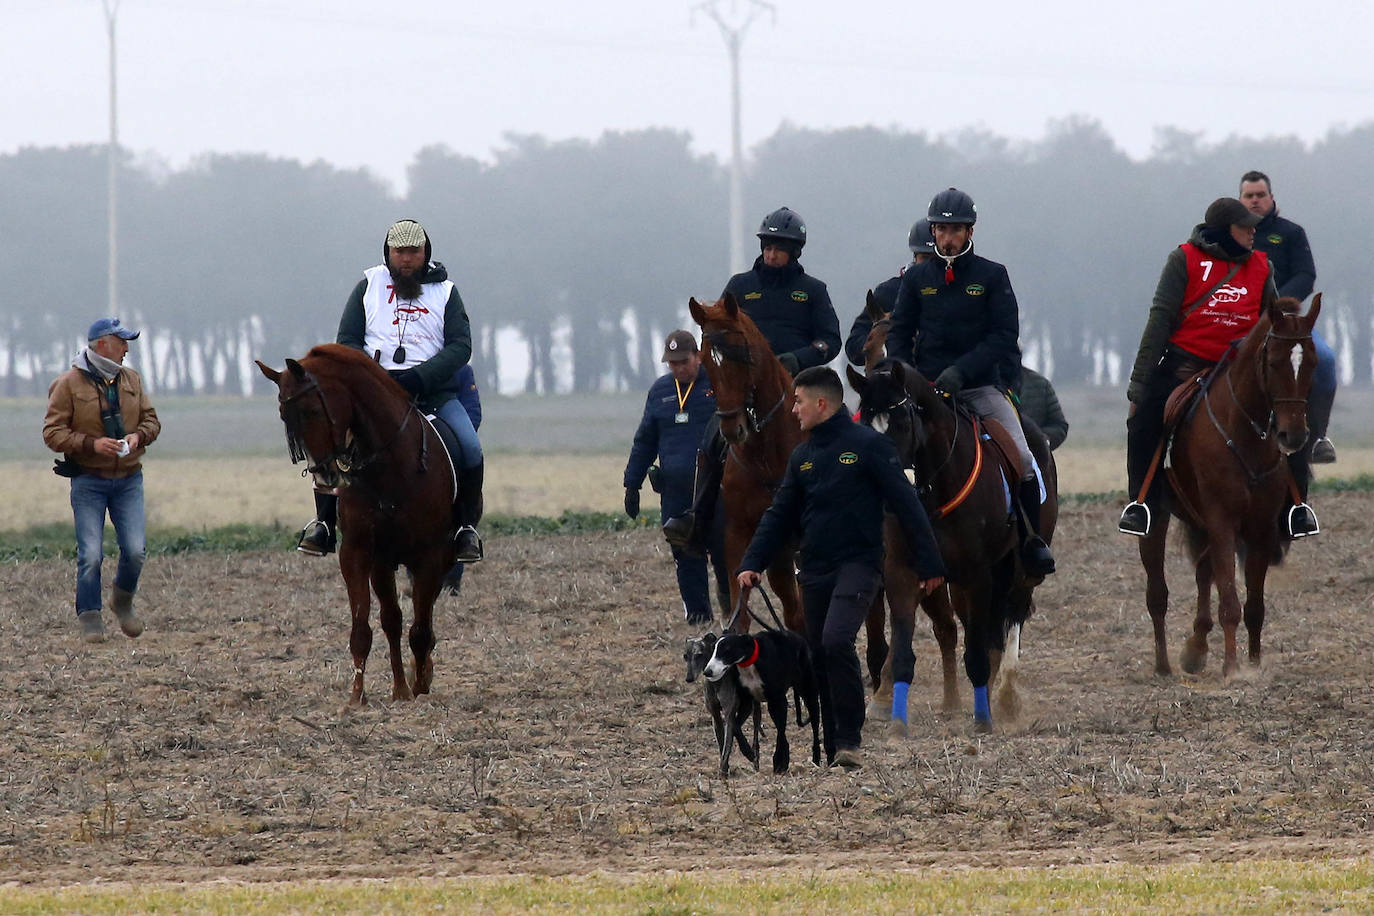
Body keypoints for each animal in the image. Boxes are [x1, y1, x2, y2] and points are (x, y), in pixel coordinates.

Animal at [259, 343, 464, 708]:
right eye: (284, 415)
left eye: (312, 409)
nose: (324, 475)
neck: (390, 467)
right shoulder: (361, 554)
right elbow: (368, 626)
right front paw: (363, 696)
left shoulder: (428, 556)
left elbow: (420, 628)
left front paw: (419, 686)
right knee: (394, 619)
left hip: (440, 560)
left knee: (424, 617)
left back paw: (422, 673)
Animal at [1137, 293, 1319, 681]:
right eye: (1274, 362)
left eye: (1312, 363)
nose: (1293, 436)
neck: (1245, 434)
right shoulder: (1222, 520)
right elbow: (1231, 601)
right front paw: (1232, 667)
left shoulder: (1261, 527)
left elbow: (1254, 604)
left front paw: (1253, 662)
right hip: (1158, 518)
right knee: (1157, 591)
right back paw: (1164, 664)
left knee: (1203, 570)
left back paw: (1196, 648)